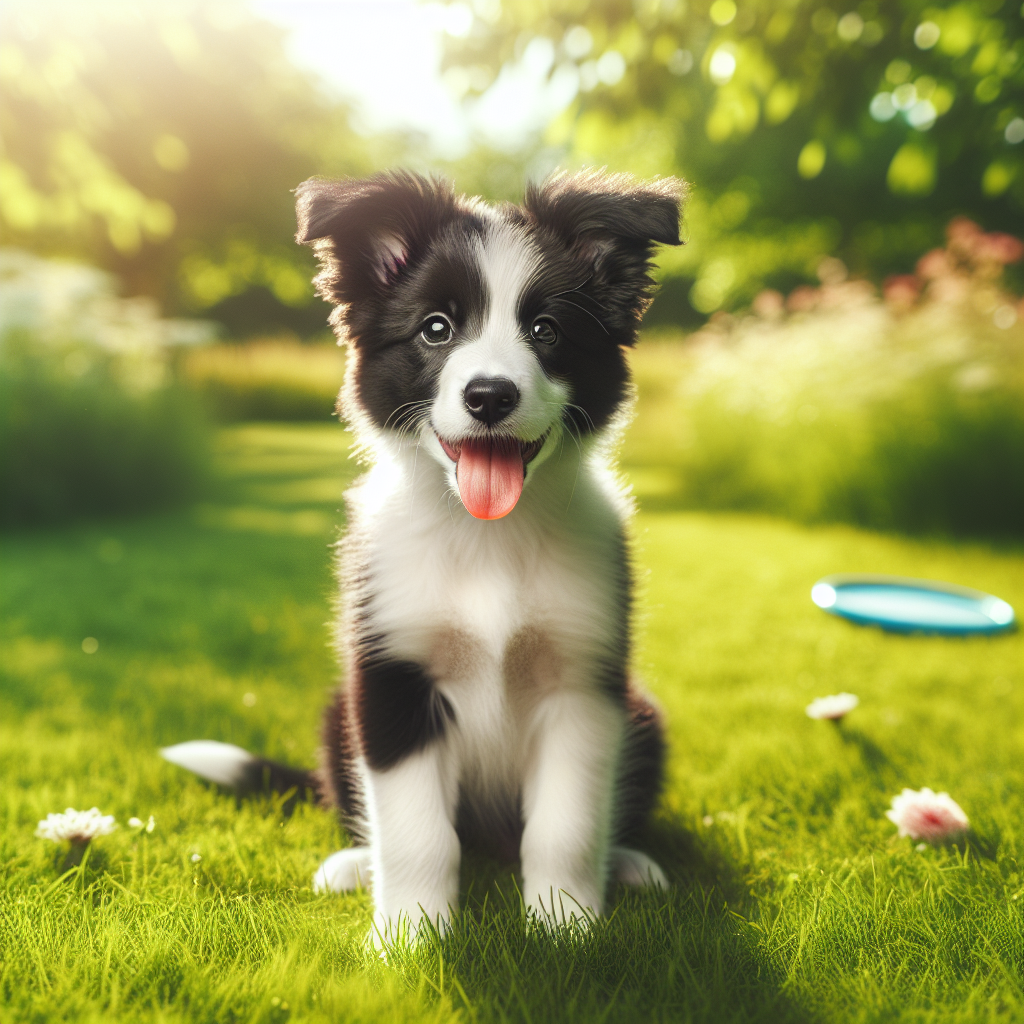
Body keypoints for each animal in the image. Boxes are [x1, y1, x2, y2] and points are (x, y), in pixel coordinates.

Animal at [163, 167, 684, 942]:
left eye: (546, 330)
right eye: (436, 328)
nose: (490, 395)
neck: (486, 535)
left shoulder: (583, 680)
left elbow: (565, 823)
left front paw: (566, 928)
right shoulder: (391, 676)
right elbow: (418, 832)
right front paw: (411, 938)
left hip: (642, 716)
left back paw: (627, 863)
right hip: (339, 711)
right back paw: (354, 865)